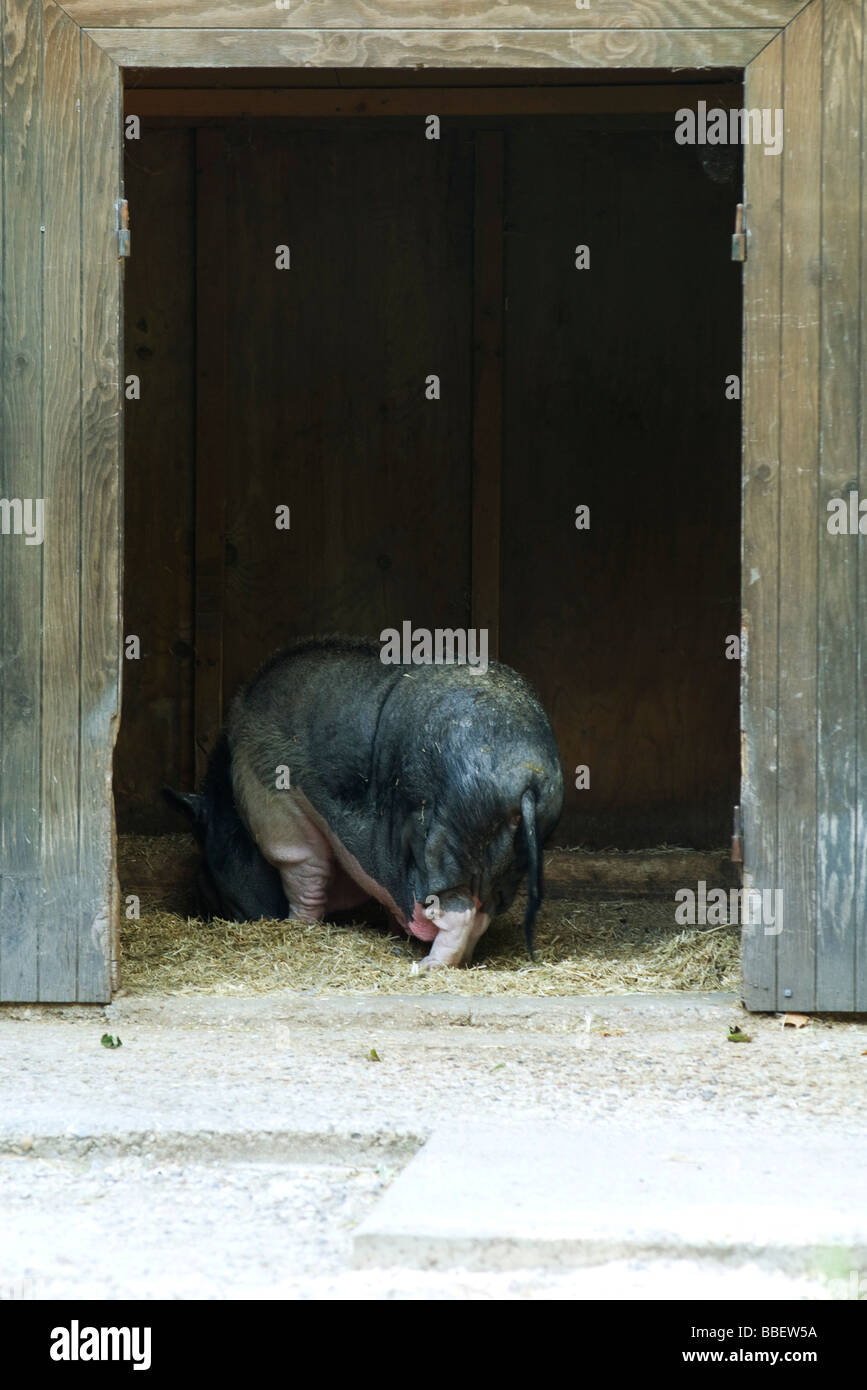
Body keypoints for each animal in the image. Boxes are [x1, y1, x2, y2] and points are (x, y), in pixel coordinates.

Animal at [221, 635, 564, 969]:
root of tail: (526, 777)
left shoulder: (275, 805)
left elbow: (302, 866)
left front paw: (296, 925)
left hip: (446, 843)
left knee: (457, 912)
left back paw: (426, 966)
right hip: (508, 861)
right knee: (483, 913)